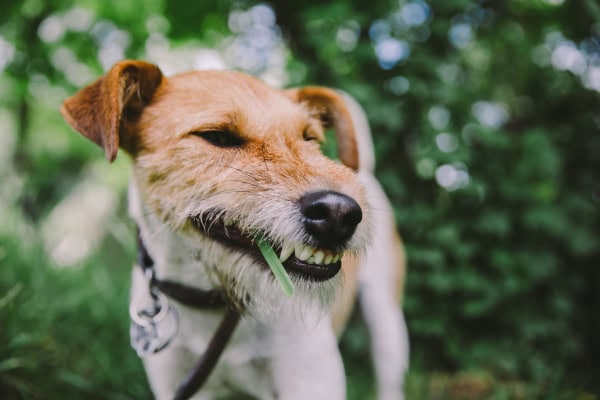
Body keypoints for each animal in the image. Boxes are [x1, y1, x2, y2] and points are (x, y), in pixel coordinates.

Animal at [59, 60, 408, 400]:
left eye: (310, 139)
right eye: (217, 136)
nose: (340, 213)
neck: (212, 298)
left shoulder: (309, 382)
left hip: (388, 329)